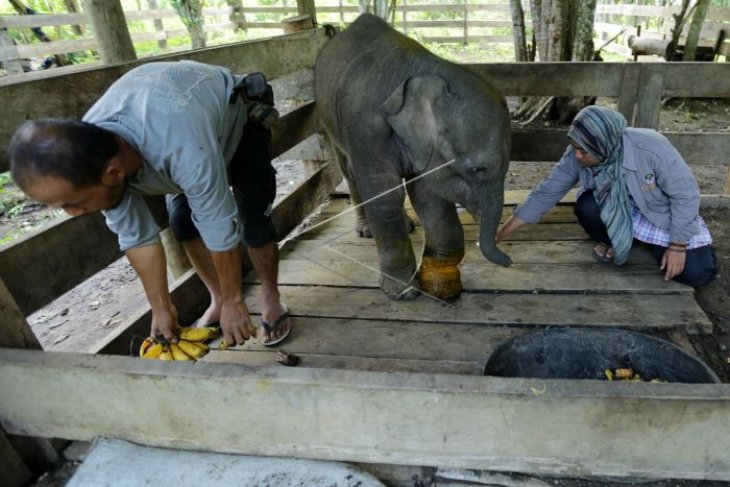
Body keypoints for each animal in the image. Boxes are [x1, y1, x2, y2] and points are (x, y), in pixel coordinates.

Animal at [314, 13, 512, 300]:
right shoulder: (366, 128)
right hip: (328, 119)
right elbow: (385, 195)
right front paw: (402, 293)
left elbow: (428, 195)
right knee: (349, 171)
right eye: (477, 170)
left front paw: (441, 279)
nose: (509, 262)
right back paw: (366, 231)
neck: (422, 72)